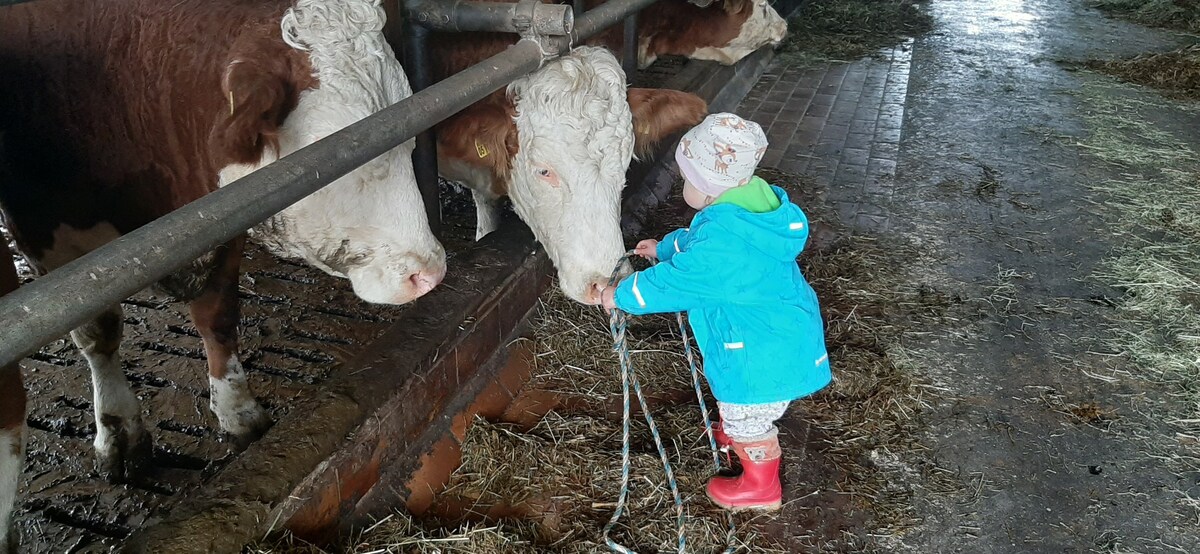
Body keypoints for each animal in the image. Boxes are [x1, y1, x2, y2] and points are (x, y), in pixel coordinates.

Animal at [0, 0, 446, 544]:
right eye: (339, 153)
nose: (430, 272)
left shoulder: (221, 215)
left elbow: (218, 317)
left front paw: (237, 410)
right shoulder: (41, 226)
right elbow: (97, 330)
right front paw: (119, 430)